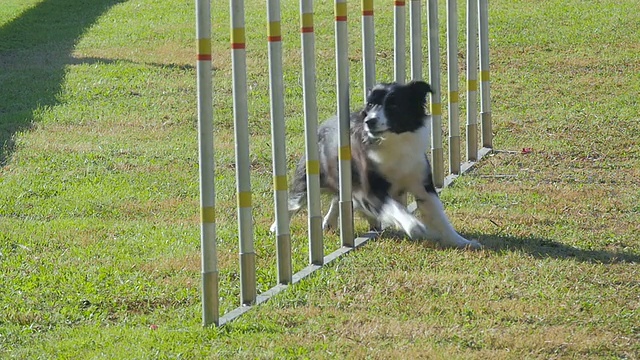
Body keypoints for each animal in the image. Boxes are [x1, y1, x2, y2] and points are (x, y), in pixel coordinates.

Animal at [272, 81, 482, 250]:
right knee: (295, 201)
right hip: (313, 177)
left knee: (339, 197)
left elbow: (439, 216)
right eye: (370, 104)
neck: (394, 141)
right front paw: (415, 226)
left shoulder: (422, 183)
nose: (369, 121)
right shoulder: (371, 190)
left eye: (394, 104)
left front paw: (462, 242)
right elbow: (397, 209)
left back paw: (330, 222)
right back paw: (276, 227)